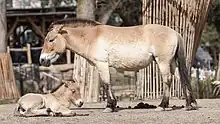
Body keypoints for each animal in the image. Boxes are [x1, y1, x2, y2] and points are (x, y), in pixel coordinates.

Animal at [38, 18, 197, 112]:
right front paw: (113, 105)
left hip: (163, 62)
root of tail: (175, 33)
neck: (91, 37)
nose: (42, 60)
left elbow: (106, 84)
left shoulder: (101, 64)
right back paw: (189, 105)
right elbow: (107, 84)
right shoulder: (102, 66)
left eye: (51, 40)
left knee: (168, 81)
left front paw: (109, 106)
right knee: (182, 78)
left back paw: (162, 106)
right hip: (172, 63)